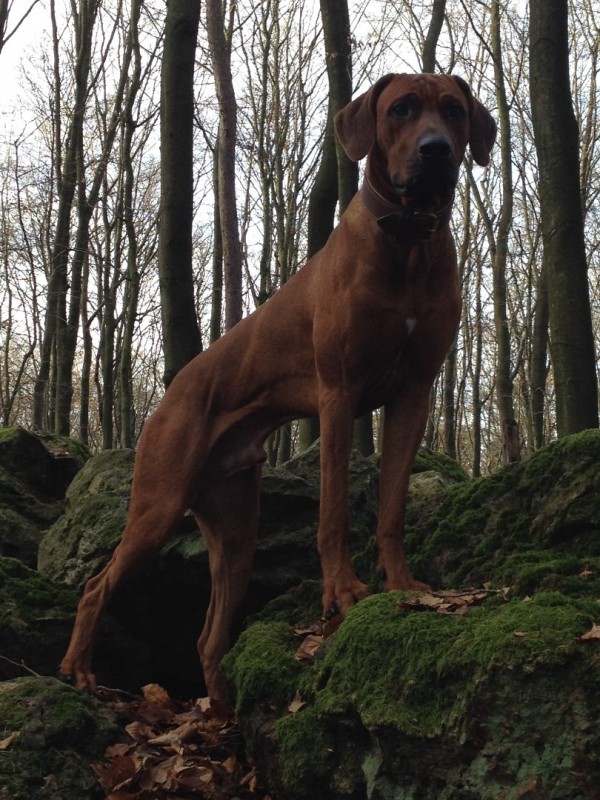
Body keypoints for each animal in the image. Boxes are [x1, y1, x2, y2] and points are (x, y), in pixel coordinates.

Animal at [60, 73, 495, 706]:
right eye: (401, 110)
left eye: (455, 112)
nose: (436, 150)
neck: (408, 240)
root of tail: (171, 387)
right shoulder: (339, 394)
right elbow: (333, 512)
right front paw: (343, 593)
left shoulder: (416, 392)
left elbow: (391, 506)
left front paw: (402, 582)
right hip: (159, 502)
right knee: (97, 584)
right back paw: (80, 670)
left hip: (237, 529)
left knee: (207, 636)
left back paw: (221, 708)